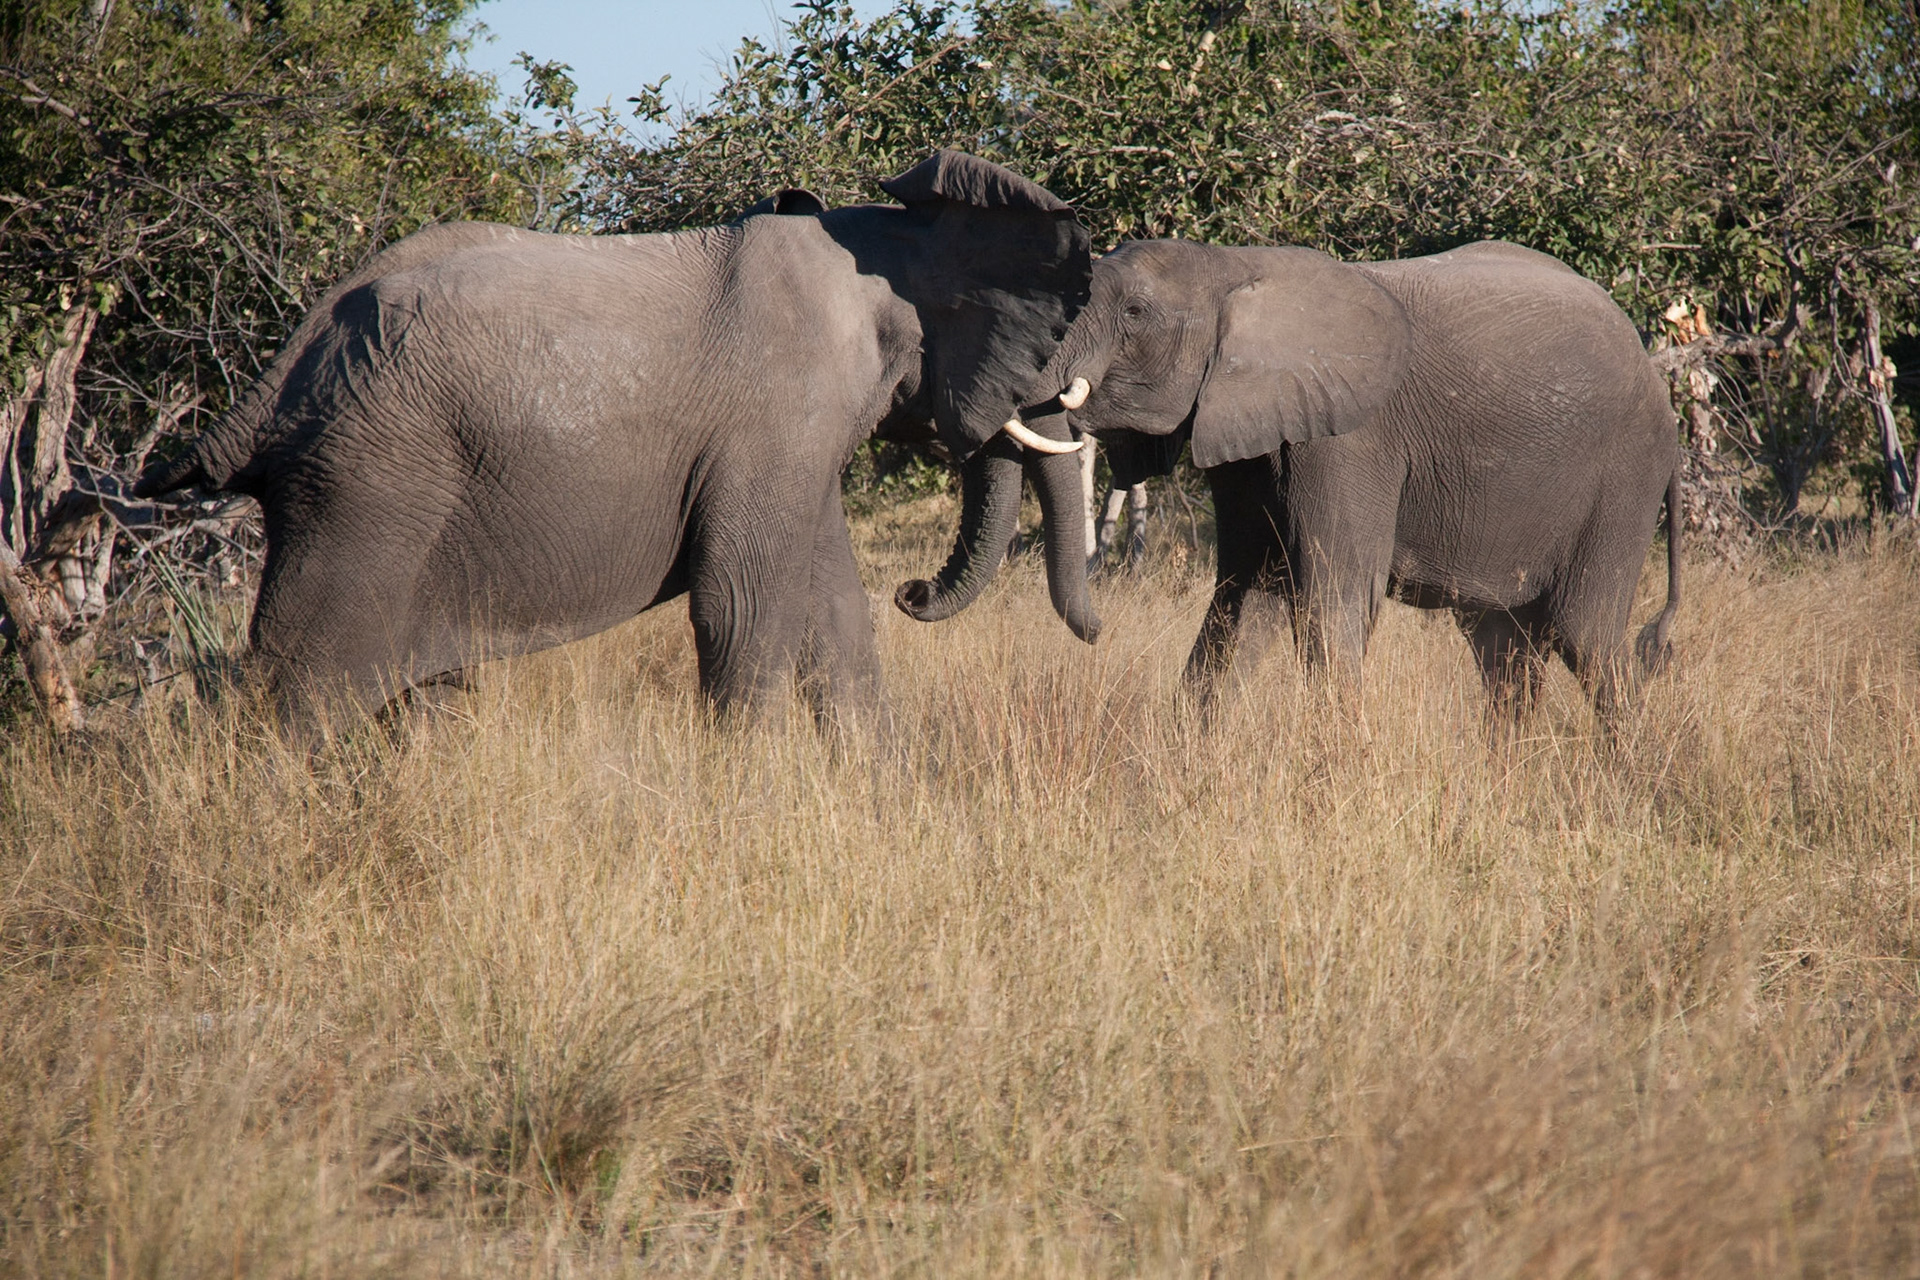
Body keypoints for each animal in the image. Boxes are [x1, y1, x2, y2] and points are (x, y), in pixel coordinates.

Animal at [134, 150, 1102, 738]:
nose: (916, 592)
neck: (872, 242)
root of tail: (275, 377)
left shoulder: (789, 440)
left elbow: (831, 612)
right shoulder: (778, 412)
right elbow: (741, 606)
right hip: (366, 485)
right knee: (295, 694)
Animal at [899, 237, 1681, 720]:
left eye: (1135, 313)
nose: (910, 593)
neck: (1236, 269)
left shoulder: (1349, 439)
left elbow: (1333, 605)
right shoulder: (1247, 436)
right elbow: (1243, 599)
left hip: (1625, 476)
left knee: (1588, 639)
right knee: (1502, 649)